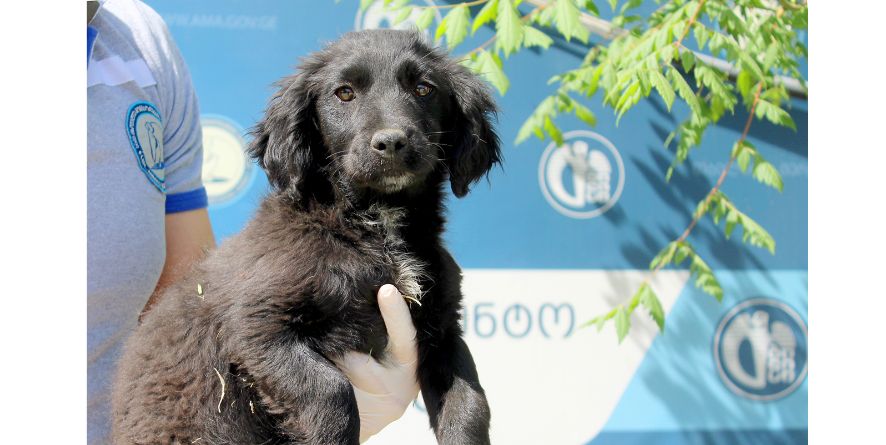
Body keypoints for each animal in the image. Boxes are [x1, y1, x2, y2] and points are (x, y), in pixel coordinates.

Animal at [111, 29, 500, 442]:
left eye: (424, 88)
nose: (392, 142)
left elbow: (469, 404)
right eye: (344, 93)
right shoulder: (255, 325)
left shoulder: (443, 328)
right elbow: (331, 392)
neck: (374, 225)